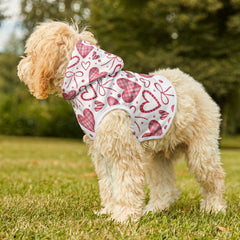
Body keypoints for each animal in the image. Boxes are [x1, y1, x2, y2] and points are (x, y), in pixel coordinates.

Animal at [17, 21, 226, 222]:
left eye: (31, 53)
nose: (20, 68)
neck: (91, 83)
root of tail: (196, 85)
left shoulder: (123, 151)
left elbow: (126, 184)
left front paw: (124, 216)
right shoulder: (102, 152)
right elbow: (109, 185)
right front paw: (110, 211)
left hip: (201, 151)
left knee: (215, 178)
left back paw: (215, 208)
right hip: (157, 158)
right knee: (165, 188)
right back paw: (154, 209)